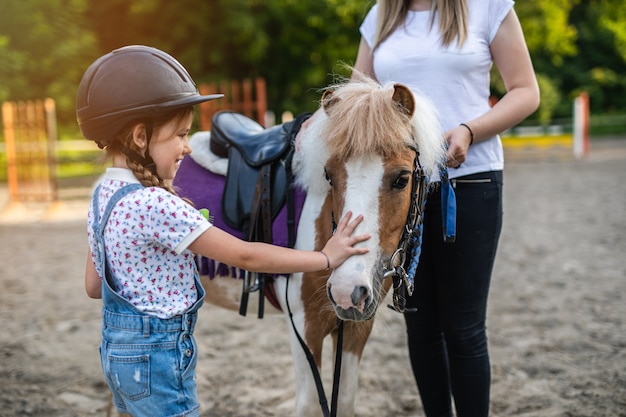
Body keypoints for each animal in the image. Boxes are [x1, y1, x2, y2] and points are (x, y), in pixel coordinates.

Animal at [174, 79, 444, 416]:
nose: (346, 291)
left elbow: (346, 401)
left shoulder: (355, 329)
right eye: (329, 175)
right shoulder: (304, 326)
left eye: (402, 179)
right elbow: (309, 404)